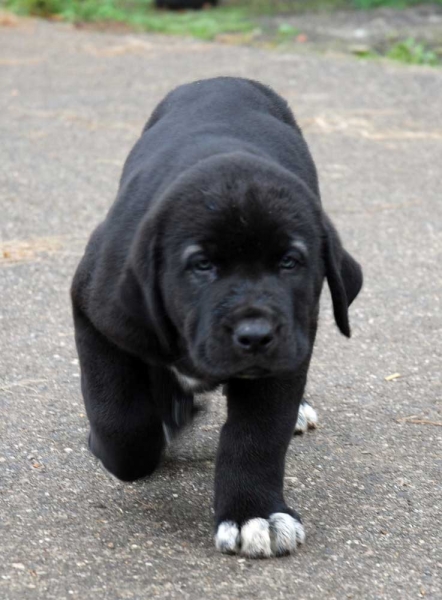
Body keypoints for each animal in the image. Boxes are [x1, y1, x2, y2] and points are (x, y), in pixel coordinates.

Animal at [71, 77, 362, 560]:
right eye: (201, 265)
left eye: (290, 262)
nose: (255, 335)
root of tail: (224, 79)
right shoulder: (96, 314)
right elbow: (121, 424)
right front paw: (144, 430)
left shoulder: (288, 349)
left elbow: (257, 435)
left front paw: (254, 514)